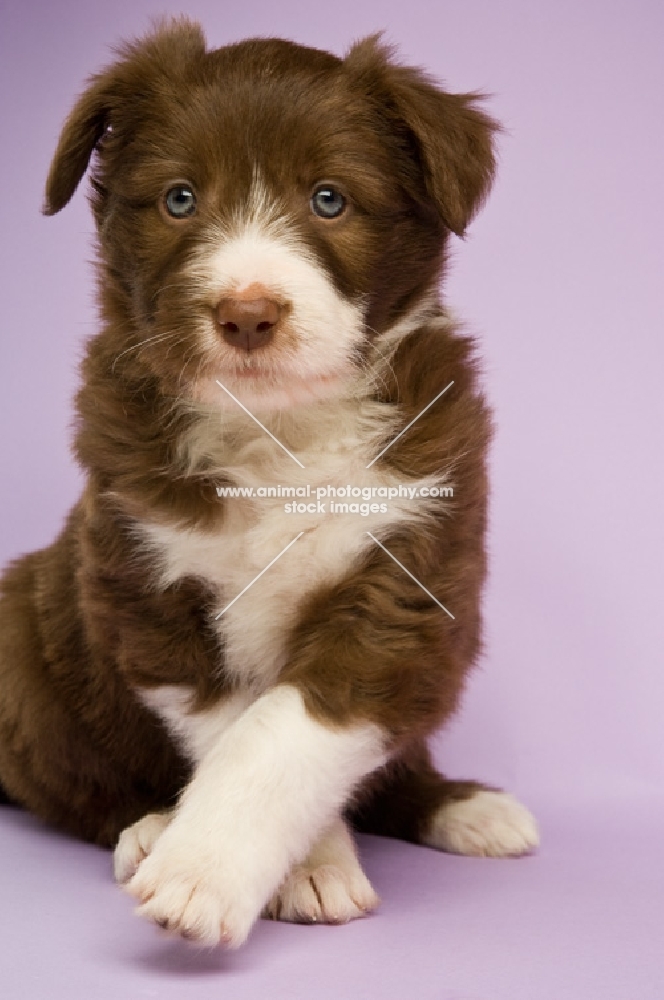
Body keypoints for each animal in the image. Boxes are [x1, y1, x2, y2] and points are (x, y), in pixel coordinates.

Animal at [0, 19, 540, 948]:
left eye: (330, 199)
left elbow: (288, 730)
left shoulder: (407, 584)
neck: (278, 431)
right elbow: (233, 731)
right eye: (180, 199)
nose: (246, 313)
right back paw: (149, 829)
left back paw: (467, 808)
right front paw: (272, 867)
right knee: (81, 788)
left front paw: (205, 873)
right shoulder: (148, 587)